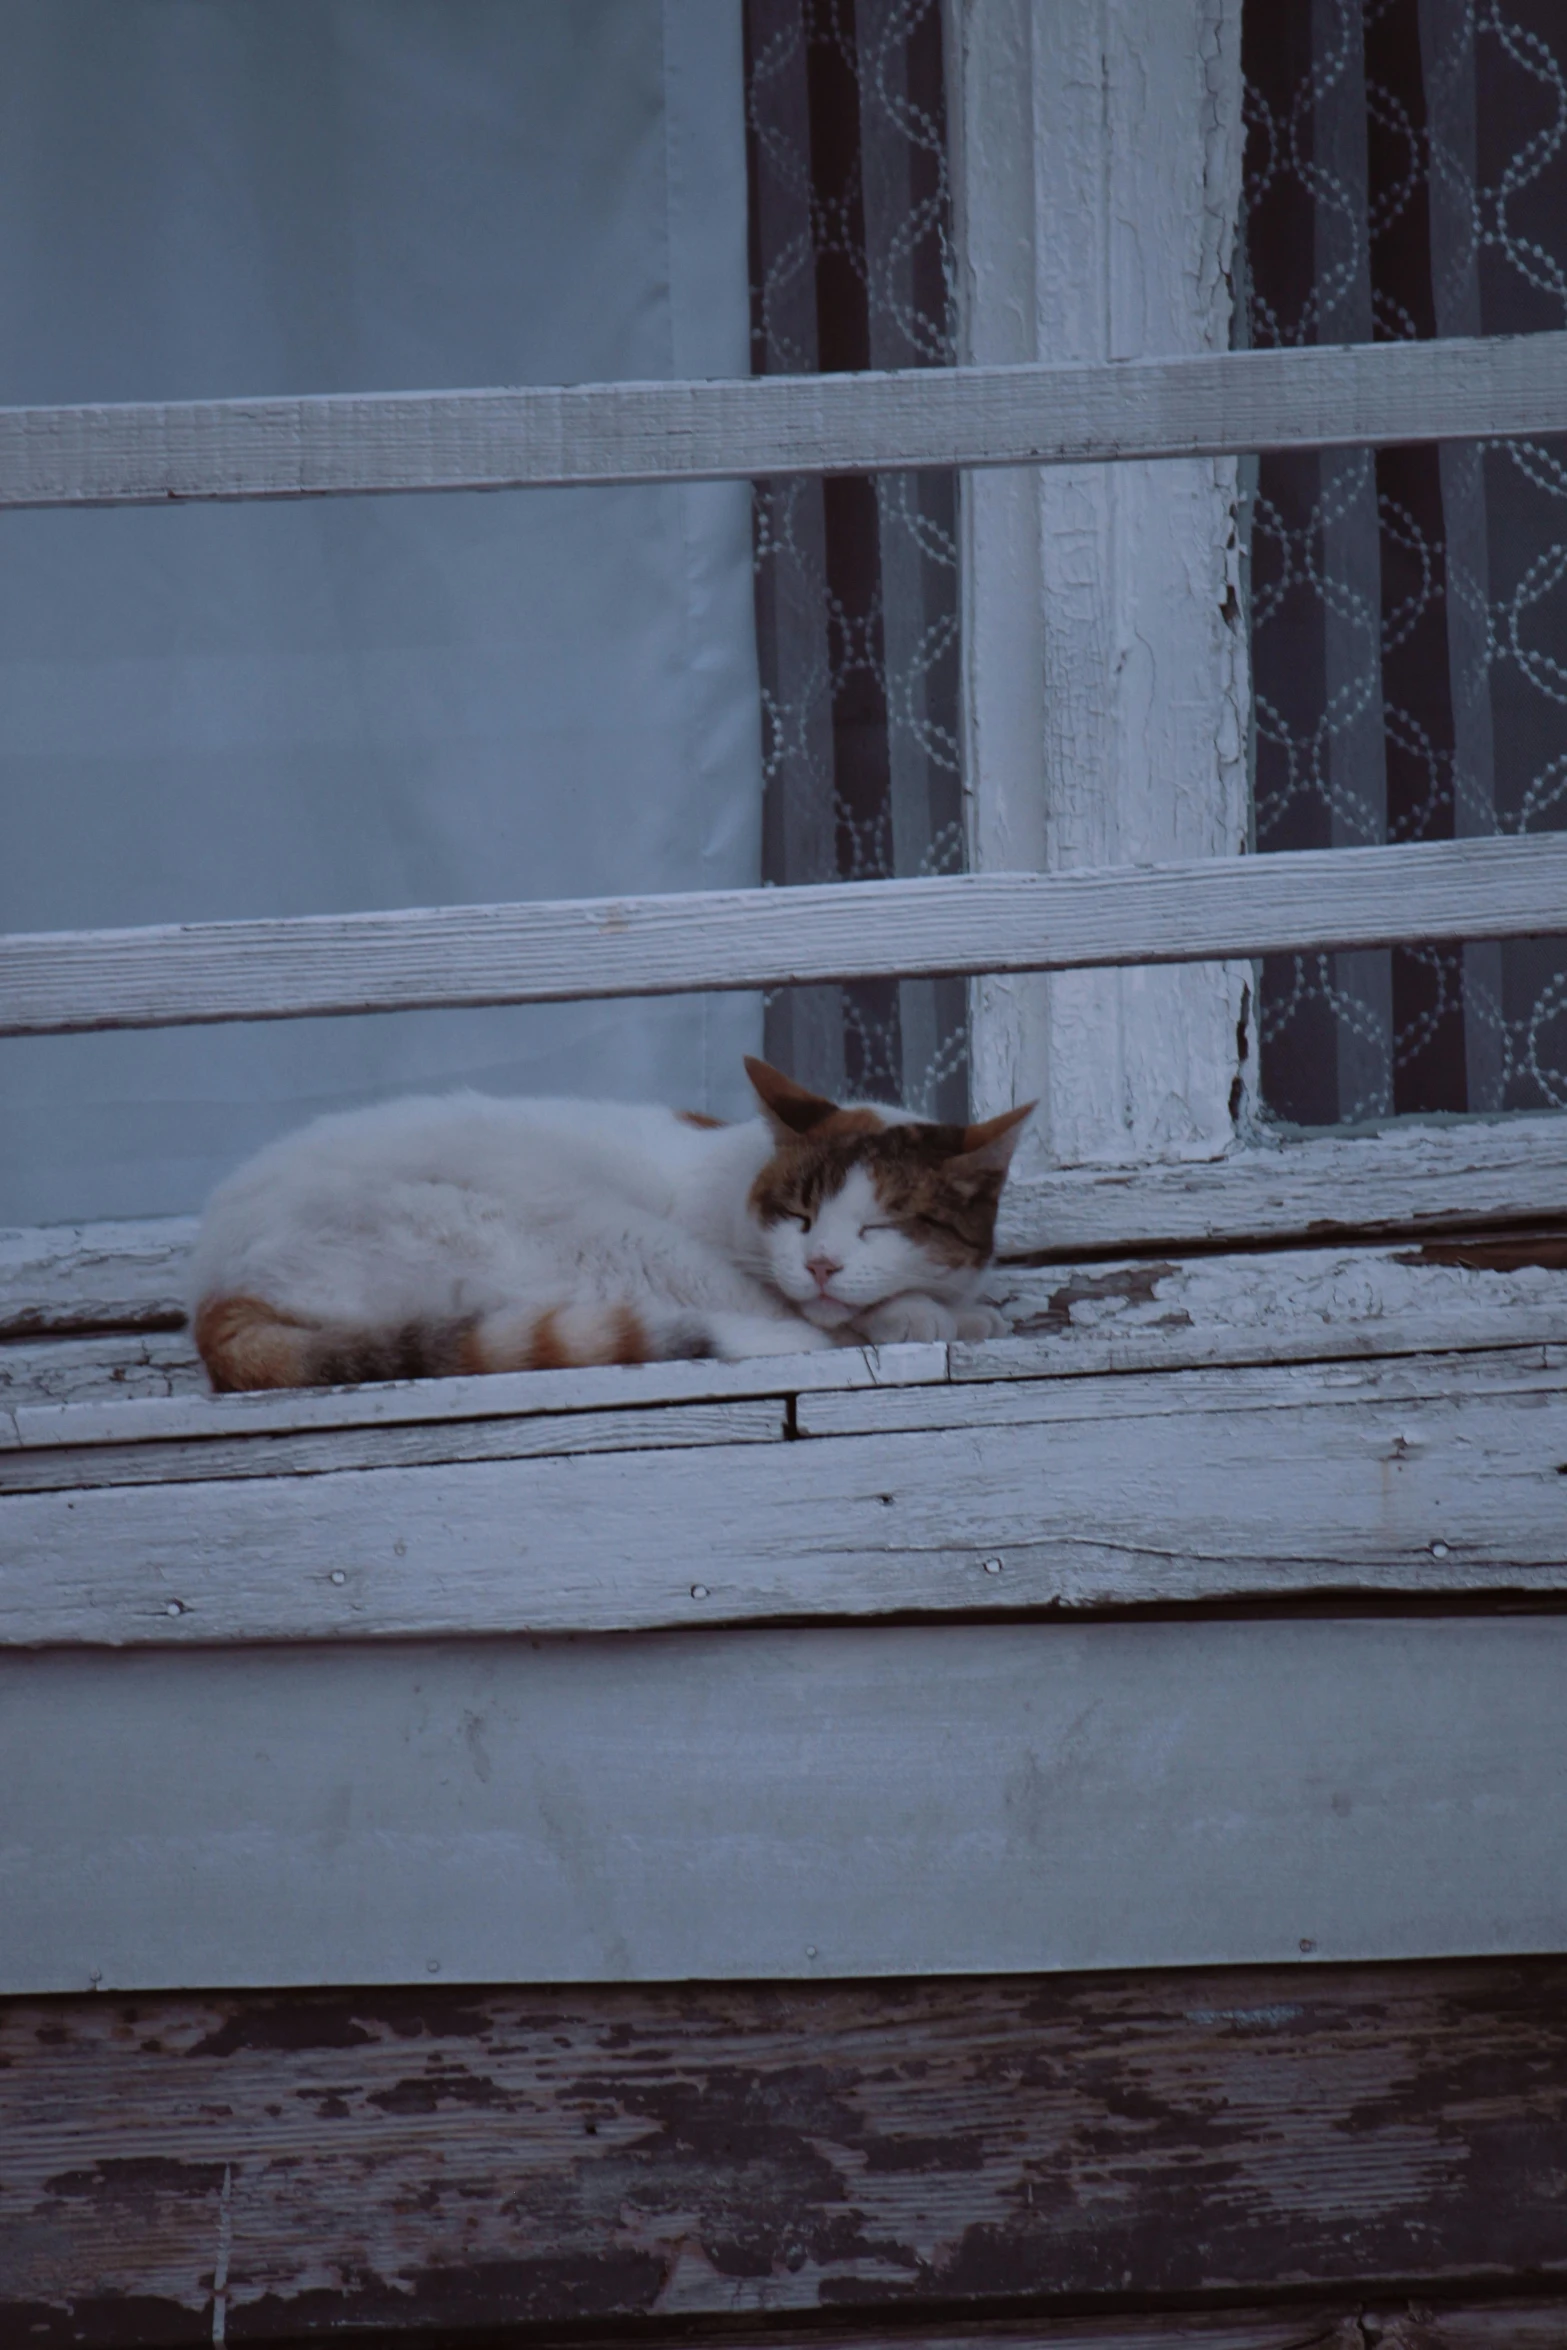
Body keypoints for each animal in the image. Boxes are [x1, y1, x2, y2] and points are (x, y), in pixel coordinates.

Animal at [190, 1066, 1033, 1391]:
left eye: (883, 1224)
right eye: (797, 1216)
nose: (821, 1263)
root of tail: (215, 1287)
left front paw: (964, 1311)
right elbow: (846, 1313)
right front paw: (917, 1314)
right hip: (599, 1229)